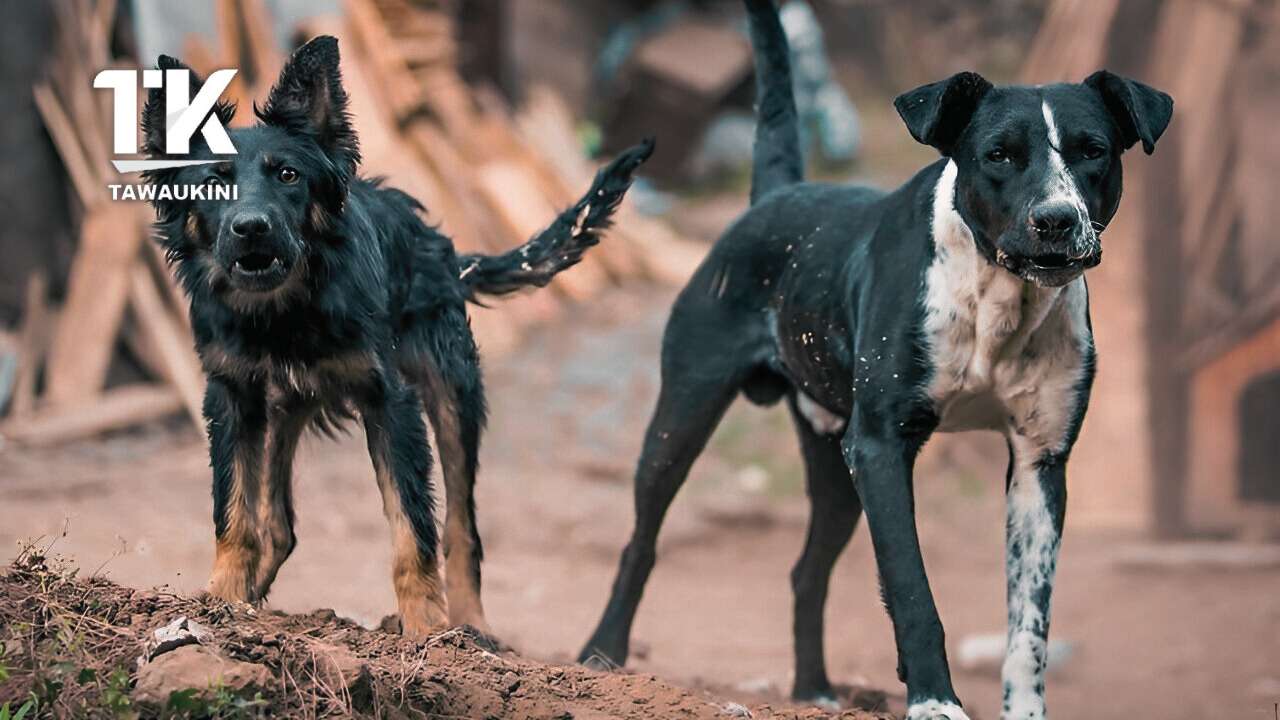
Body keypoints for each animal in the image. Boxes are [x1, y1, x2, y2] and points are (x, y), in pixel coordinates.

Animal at [142, 36, 650, 635]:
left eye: (288, 175)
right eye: (214, 181)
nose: (251, 228)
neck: (285, 312)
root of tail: (442, 246)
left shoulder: (391, 402)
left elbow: (414, 529)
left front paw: (426, 628)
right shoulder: (232, 398)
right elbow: (235, 513)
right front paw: (221, 602)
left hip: (453, 393)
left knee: (462, 529)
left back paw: (470, 627)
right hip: (283, 411)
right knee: (279, 525)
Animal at [581, 2, 1172, 712]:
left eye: (1093, 151)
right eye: (999, 155)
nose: (1056, 220)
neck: (997, 297)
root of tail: (774, 196)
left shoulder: (1040, 462)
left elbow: (1029, 624)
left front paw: (1023, 710)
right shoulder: (881, 446)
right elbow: (913, 590)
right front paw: (935, 702)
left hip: (834, 468)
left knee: (806, 572)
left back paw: (813, 690)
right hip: (683, 417)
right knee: (640, 544)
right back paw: (601, 656)